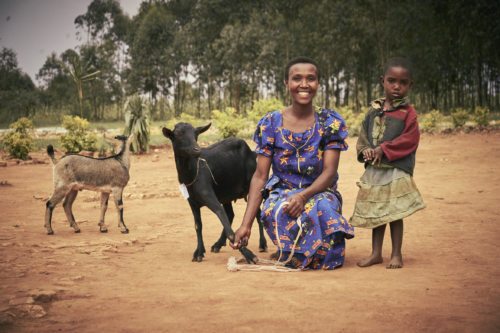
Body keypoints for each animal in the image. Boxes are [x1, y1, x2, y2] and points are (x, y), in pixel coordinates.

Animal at [163, 122, 266, 262]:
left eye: (195, 134)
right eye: (178, 134)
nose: (197, 150)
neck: (192, 173)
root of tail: (251, 152)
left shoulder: (210, 197)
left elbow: (225, 221)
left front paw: (249, 254)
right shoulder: (192, 202)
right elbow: (198, 225)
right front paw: (199, 252)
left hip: (253, 184)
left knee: (255, 212)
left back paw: (262, 244)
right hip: (226, 193)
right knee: (231, 214)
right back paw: (218, 244)